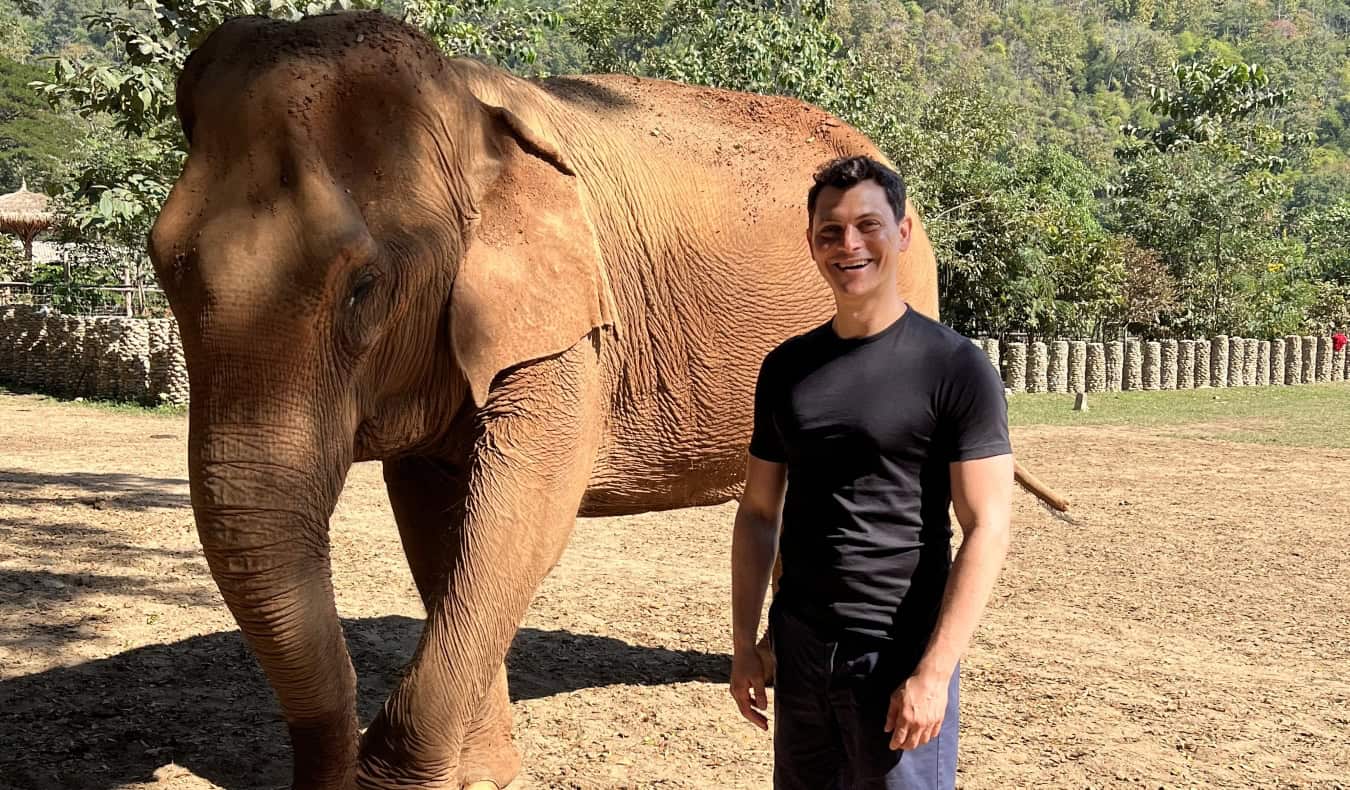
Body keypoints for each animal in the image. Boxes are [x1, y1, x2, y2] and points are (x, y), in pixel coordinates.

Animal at [150, 7, 1063, 788]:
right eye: (162, 266)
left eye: (363, 288)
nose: (327, 774)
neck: (464, 108)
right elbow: (441, 522)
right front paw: (483, 775)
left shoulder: (578, 329)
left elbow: (526, 507)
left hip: (915, 282)